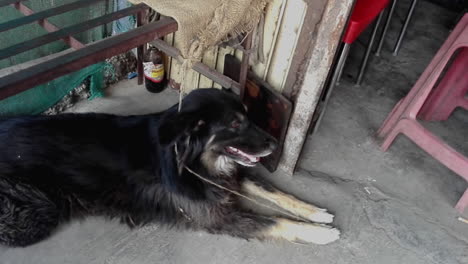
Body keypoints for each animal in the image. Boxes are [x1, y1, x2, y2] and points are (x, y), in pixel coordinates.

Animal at [0, 88, 338, 248]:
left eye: (247, 116)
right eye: (235, 124)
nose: (274, 144)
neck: (190, 159)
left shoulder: (224, 179)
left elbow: (274, 192)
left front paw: (315, 212)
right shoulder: (217, 216)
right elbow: (275, 221)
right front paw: (321, 233)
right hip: (37, 212)